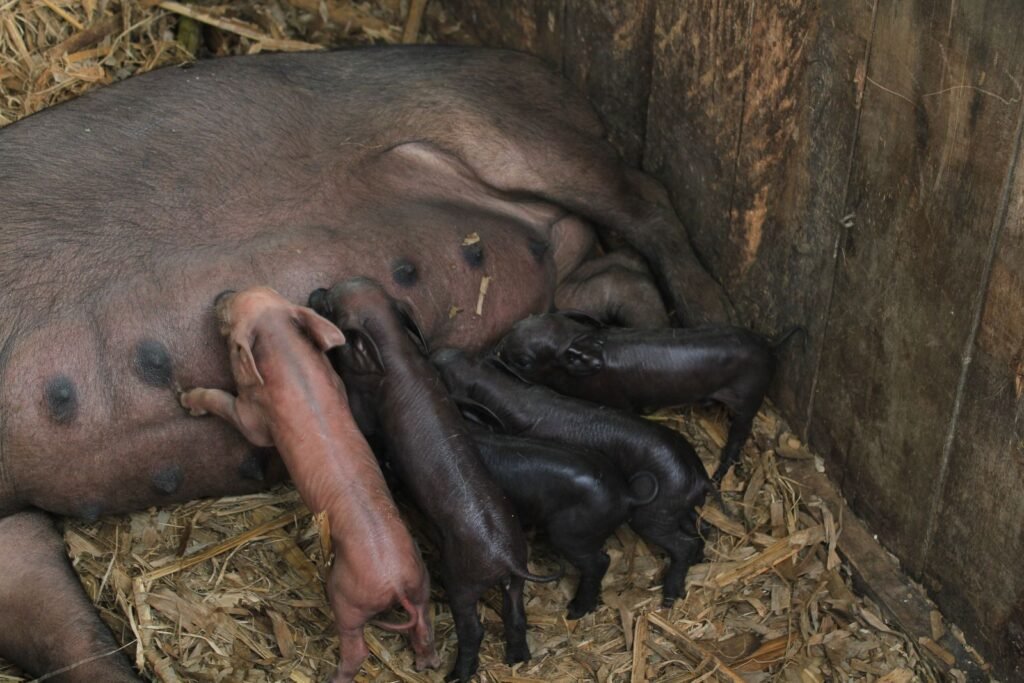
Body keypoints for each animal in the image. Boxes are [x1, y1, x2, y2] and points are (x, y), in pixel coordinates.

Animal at [178, 287, 439, 682]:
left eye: (232, 313)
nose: (221, 293)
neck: (289, 355)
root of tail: (396, 583)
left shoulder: (254, 416)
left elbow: (229, 407)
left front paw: (187, 401)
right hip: (421, 582)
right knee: (423, 624)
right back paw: (427, 663)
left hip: (346, 596)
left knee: (357, 646)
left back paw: (335, 676)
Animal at [309, 278, 560, 682]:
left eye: (331, 306)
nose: (315, 291)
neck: (394, 348)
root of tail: (507, 557)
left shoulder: (364, 405)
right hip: (514, 583)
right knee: (515, 617)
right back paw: (516, 659)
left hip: (461, 582)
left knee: (474, 629)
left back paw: (456, 674)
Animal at [432, 349, 712, 607]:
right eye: (469, 355)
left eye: (445, 375)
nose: (441, 353)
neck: (501, 389)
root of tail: (699, 477)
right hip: (674, 506)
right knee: (700, 529)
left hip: (654, 512)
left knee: (681, 543)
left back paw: (668, 597)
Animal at [491, 313, 802, 481]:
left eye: (523, 361)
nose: (498, 350)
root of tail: (770, 344)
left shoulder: (619, 400)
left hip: (749, 396)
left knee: (739, 433)